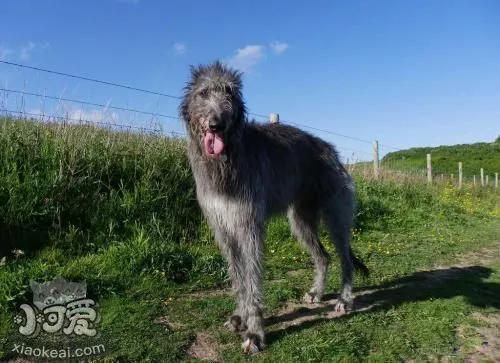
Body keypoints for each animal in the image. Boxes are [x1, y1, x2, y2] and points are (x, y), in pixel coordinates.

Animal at [180, 61, 368, 354]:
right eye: (203, 93)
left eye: (229, 93)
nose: (217, 124)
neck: (226, 160)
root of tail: (331, 150)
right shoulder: (224, 229)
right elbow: (239, 279)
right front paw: (240, 316)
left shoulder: (248, 226)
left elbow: (252, 279)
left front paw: (255, 332)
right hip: (300, 221)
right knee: (322, 256)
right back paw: (316, 292)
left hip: (336, 214)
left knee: (345, 258)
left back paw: (344, 299)